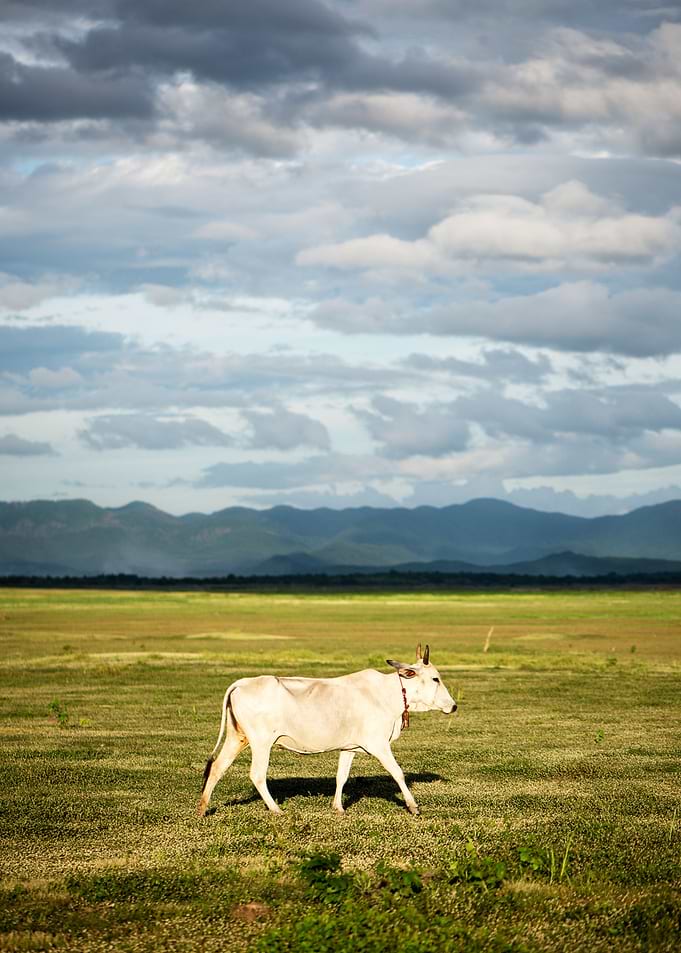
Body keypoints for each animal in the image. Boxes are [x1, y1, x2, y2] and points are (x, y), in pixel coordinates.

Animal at [198, 643, 456, 817]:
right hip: (261, 742)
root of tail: (242, 682)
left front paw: (338, 807)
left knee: (217, 768)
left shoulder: (349, 747)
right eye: (435, 679)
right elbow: (398, 773)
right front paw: (413, 806)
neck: (389, 693)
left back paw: (202, 808)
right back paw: (276, 809)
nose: (453, 706)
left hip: (236, 737)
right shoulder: (379, 745)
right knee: (257, 774)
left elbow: (341, 776)